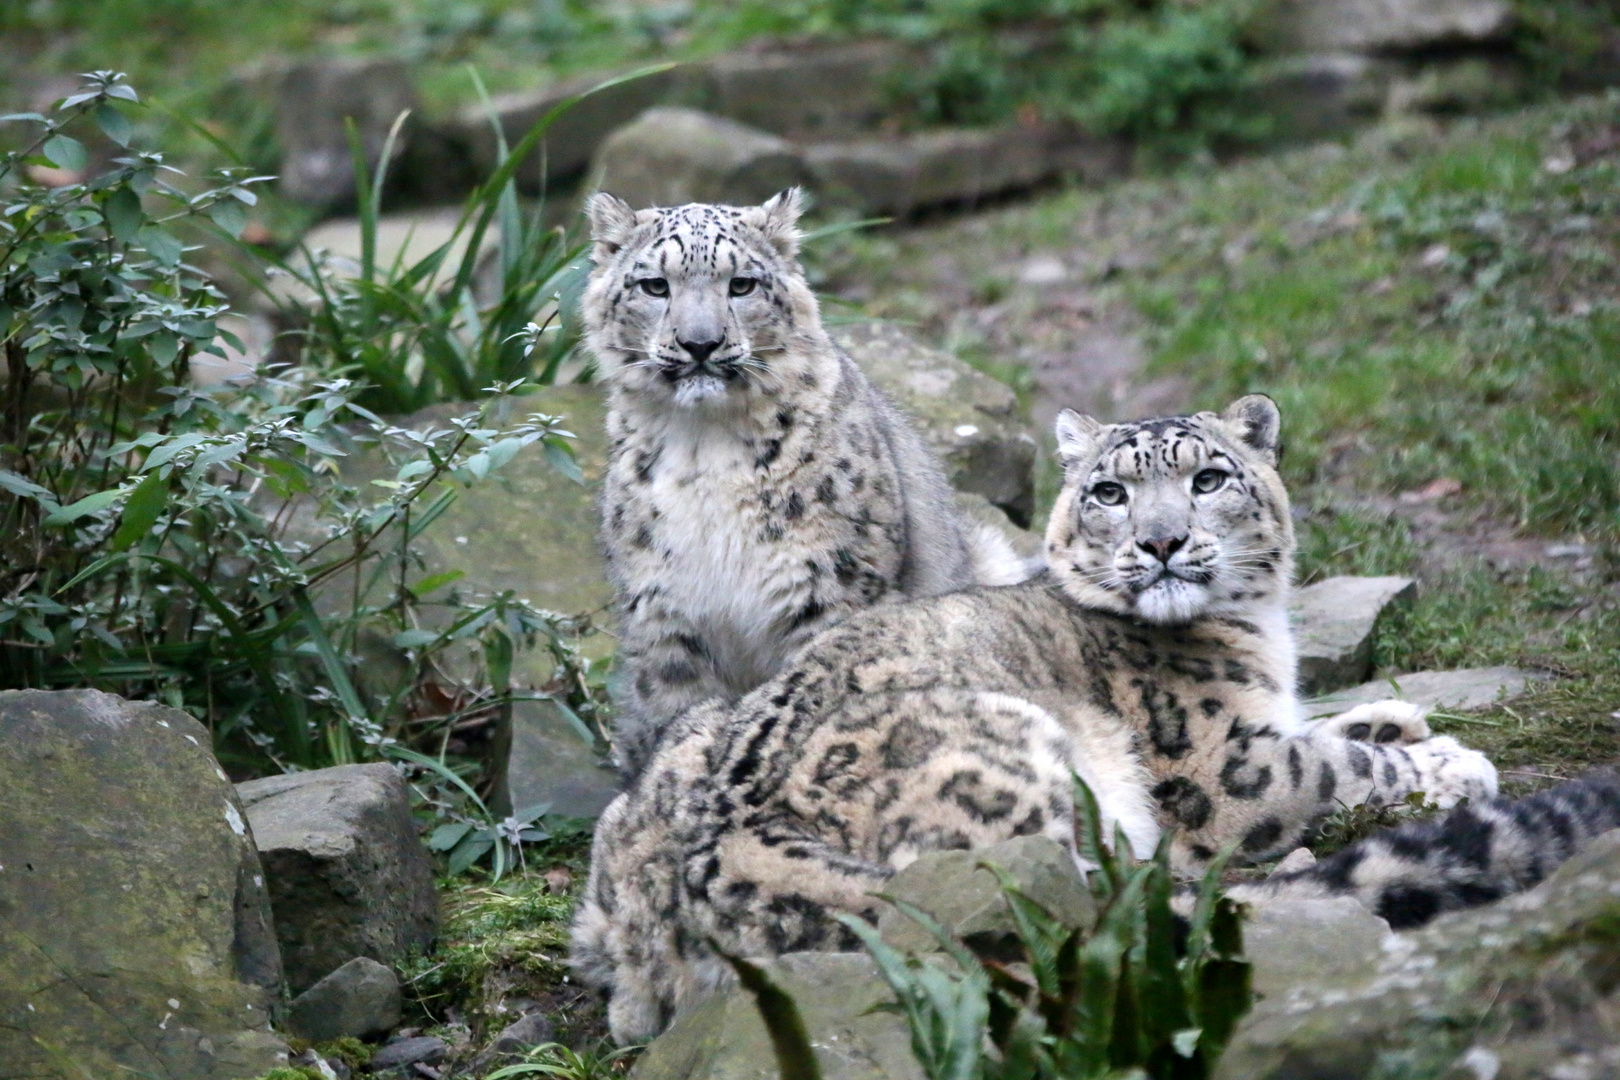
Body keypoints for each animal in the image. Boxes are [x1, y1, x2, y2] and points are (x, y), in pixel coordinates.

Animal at [576, 393, 1509, 1042]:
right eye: (1109, 491)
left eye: (1208, 479)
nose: (1162, 543)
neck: (1258, 630)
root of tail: (717, 864)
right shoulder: (1224, 767)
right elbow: (1330, 767)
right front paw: (1452, 764)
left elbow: (1327, 728)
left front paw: (1395, 714)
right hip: (1020, 758)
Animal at [586, 187, 1023, 777]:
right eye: (655, 285)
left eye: (741, 284)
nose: (700, 343)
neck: (702, 448)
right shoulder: (664, 617)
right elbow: (674, 719)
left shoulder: (831, 589)